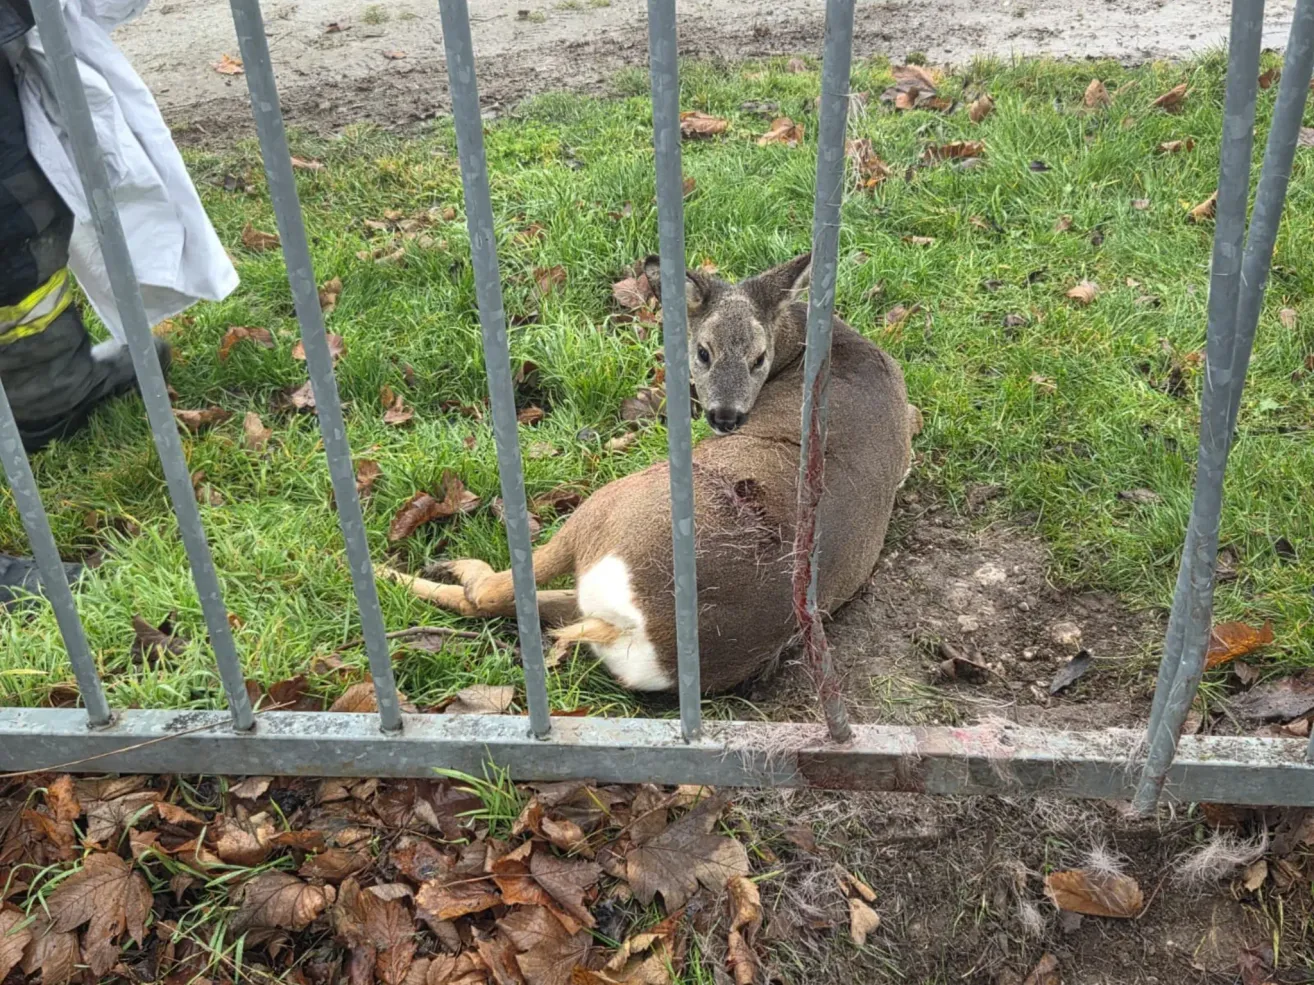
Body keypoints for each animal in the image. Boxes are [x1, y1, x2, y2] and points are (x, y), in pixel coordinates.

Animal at [385, 253, 920, 693]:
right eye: (703, 351)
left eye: (758, 357)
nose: (725, 417)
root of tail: (649, 629)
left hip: (609, 504)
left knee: (490, 592)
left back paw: (416, 571)